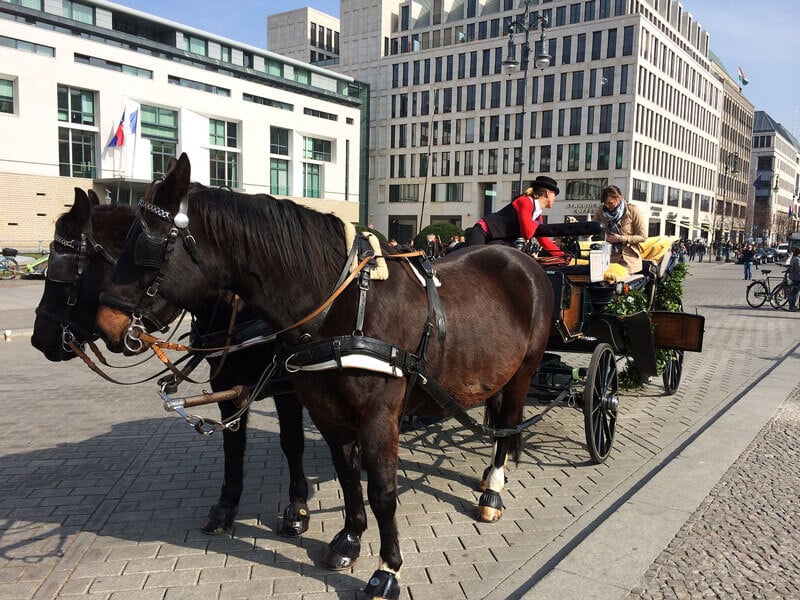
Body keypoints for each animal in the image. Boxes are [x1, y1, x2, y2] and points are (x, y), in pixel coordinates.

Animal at [29, 189, 310, 540]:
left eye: (65, 277)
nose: (39, 339)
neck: (241, 311)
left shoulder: (289, 388)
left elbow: (292, 442)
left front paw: (297, 507)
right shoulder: (228, 387)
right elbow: (232, 445)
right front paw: (226, 505)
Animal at [97, 155, 552, 600]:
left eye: (145, 246)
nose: (106, 324)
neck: (342, 306)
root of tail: (522, 260)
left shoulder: (378, 417)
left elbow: (382, 492)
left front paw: (387, 570)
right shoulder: (326, 411)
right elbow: (347, 475)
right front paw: (349, 540)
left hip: (524, 372)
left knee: (509, 421)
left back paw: (493, 488)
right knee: (499, 420)